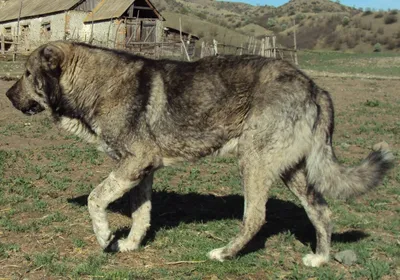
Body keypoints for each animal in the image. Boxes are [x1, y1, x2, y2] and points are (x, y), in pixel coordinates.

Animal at [5, 41, 394, 266]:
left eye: (26, 73)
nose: (8, 95)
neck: (96, 84)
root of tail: (315, 87)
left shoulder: (135, 162)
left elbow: (95, 198)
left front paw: (104, 237)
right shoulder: (142, 170)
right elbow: (141, 214)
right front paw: (130, 244)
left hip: (253, 162)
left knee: (255, 218)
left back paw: (225, 254)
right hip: (293, 172)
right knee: (322, 212)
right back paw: (321, 259)